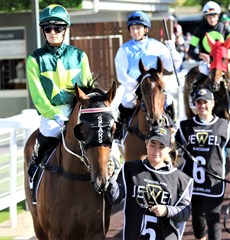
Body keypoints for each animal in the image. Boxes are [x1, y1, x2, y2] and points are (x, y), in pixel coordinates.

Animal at [24, 81, 117, 239]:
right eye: (82, 130)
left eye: (113, 128)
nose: (101, 181)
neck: (74, 180)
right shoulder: (54, 233)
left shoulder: (97, 232)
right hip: (38, 225)